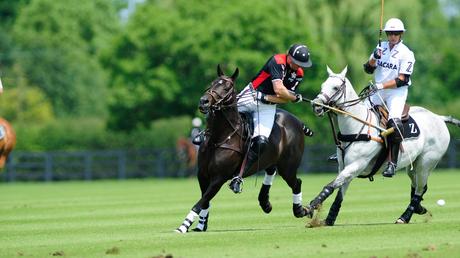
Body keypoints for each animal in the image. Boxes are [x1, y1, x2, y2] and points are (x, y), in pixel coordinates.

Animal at [176, 64, 310, 234]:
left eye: (227, 87)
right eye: (212, 83)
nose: (204, 102)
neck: (218, 138)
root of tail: (298, 122)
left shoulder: (219, 177)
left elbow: (202, 200)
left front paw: (183, 225)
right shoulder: (203, 174)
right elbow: (205, 201)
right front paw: (201, 224)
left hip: (288, 166)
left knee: (296, 182)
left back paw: (300, 210)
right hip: (272, 159)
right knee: (271, 170)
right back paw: (265, 203)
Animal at [306, 65, 460, 225]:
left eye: (335, 87)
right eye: (322, 85)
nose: (316, 105)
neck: (356, 126)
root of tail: (439, 118)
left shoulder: (356, 165)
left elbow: (330, 185)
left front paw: (310, 207)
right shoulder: (344, 167)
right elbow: (340, 193)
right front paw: (329, 219)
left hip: (426, 163)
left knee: (419, 189)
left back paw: (404, 217)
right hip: (414, 165)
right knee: (419, 186)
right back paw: (419, 208)